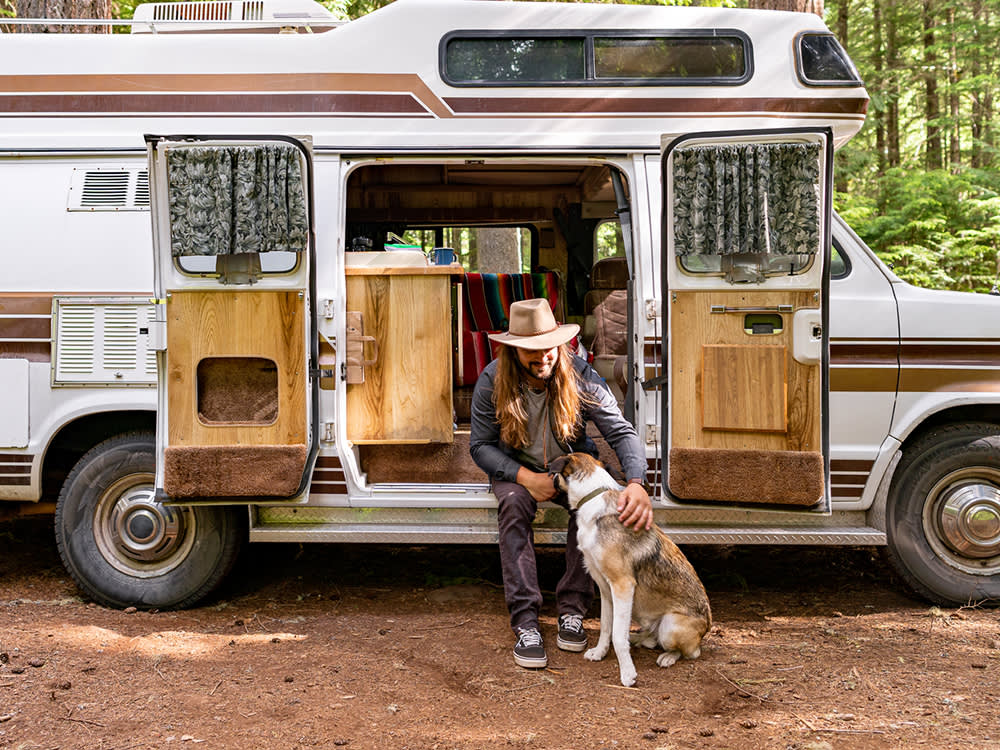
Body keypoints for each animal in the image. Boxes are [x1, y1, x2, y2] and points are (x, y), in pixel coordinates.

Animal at [548, 450, 712, 692]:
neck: (592, 494)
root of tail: (707, 626)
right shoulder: (606, 590)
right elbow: (607, 627)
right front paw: (600, 652)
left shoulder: (622, 586)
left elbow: (617, 635)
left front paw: (627, 674)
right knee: (651, 639)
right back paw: (638, 639)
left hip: (671, 626)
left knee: (690, 652)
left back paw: (667, 657)